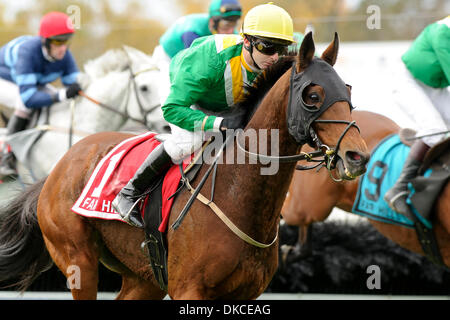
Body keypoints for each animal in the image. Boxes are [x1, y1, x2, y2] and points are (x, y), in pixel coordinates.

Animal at [0, 33, 370, 300]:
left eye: (348, 90)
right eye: (313, 96)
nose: (357, 156)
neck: (238, 195)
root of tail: (57, 169)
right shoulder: (189, 289)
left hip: (144, 279)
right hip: (79, 262)